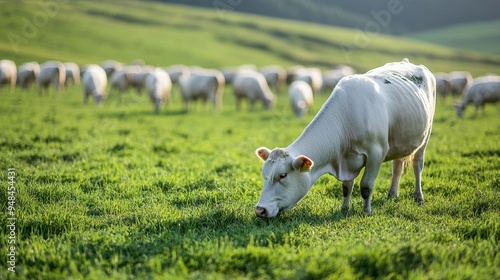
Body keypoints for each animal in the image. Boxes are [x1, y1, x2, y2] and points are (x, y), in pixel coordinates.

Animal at [256, 58, 436, 217]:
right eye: (264, 174)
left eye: (282, 175)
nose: (260, 210)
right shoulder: (346, 161)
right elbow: (346, 187)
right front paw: (344, 209)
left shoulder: (376, 153)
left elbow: (366, 187)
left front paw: (366, 212)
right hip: (400, 140)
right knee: (397, 166)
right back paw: (392, 194)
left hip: (425, 136)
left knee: (417, 164)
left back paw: (418, 197)